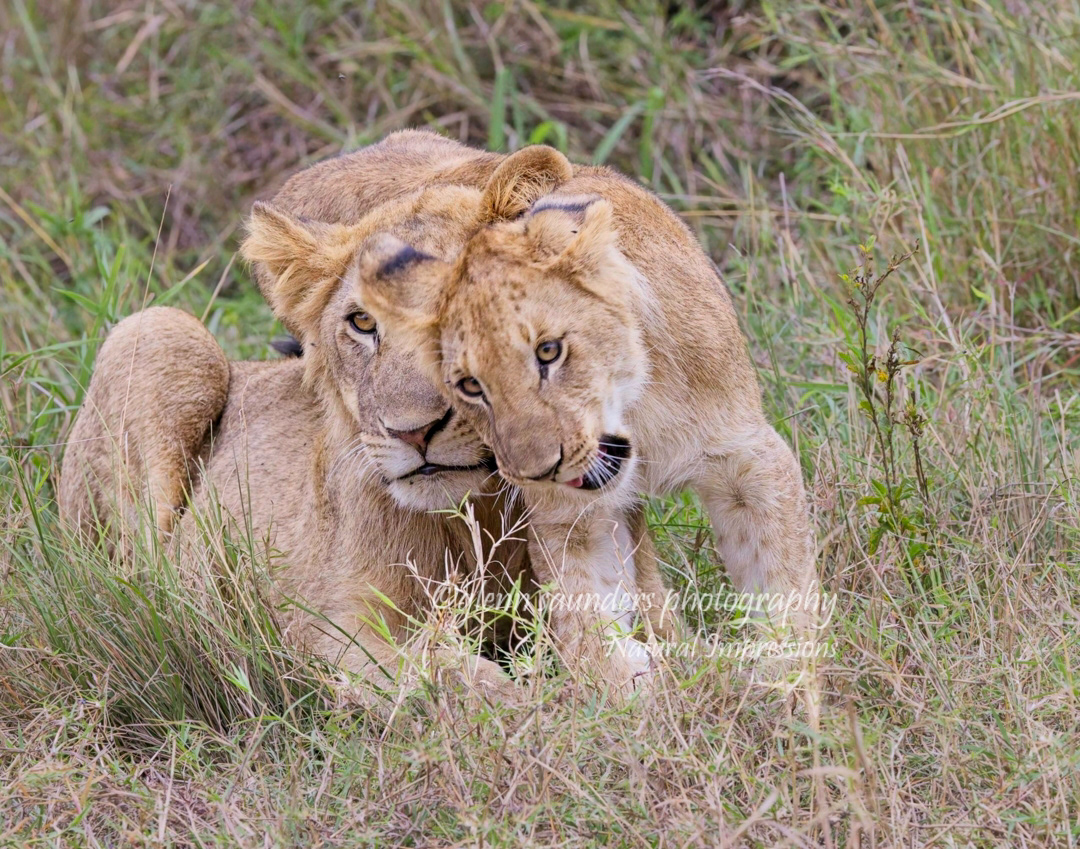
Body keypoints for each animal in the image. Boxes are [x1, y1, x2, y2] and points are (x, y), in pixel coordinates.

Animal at [351, 139, 818, 629]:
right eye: (470, 386)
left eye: (548, 351)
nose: (542, 471)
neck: (637, 411)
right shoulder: (569, 518)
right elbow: (593, 628)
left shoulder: (750, 460)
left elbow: (788, 599)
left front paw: (784, 651)